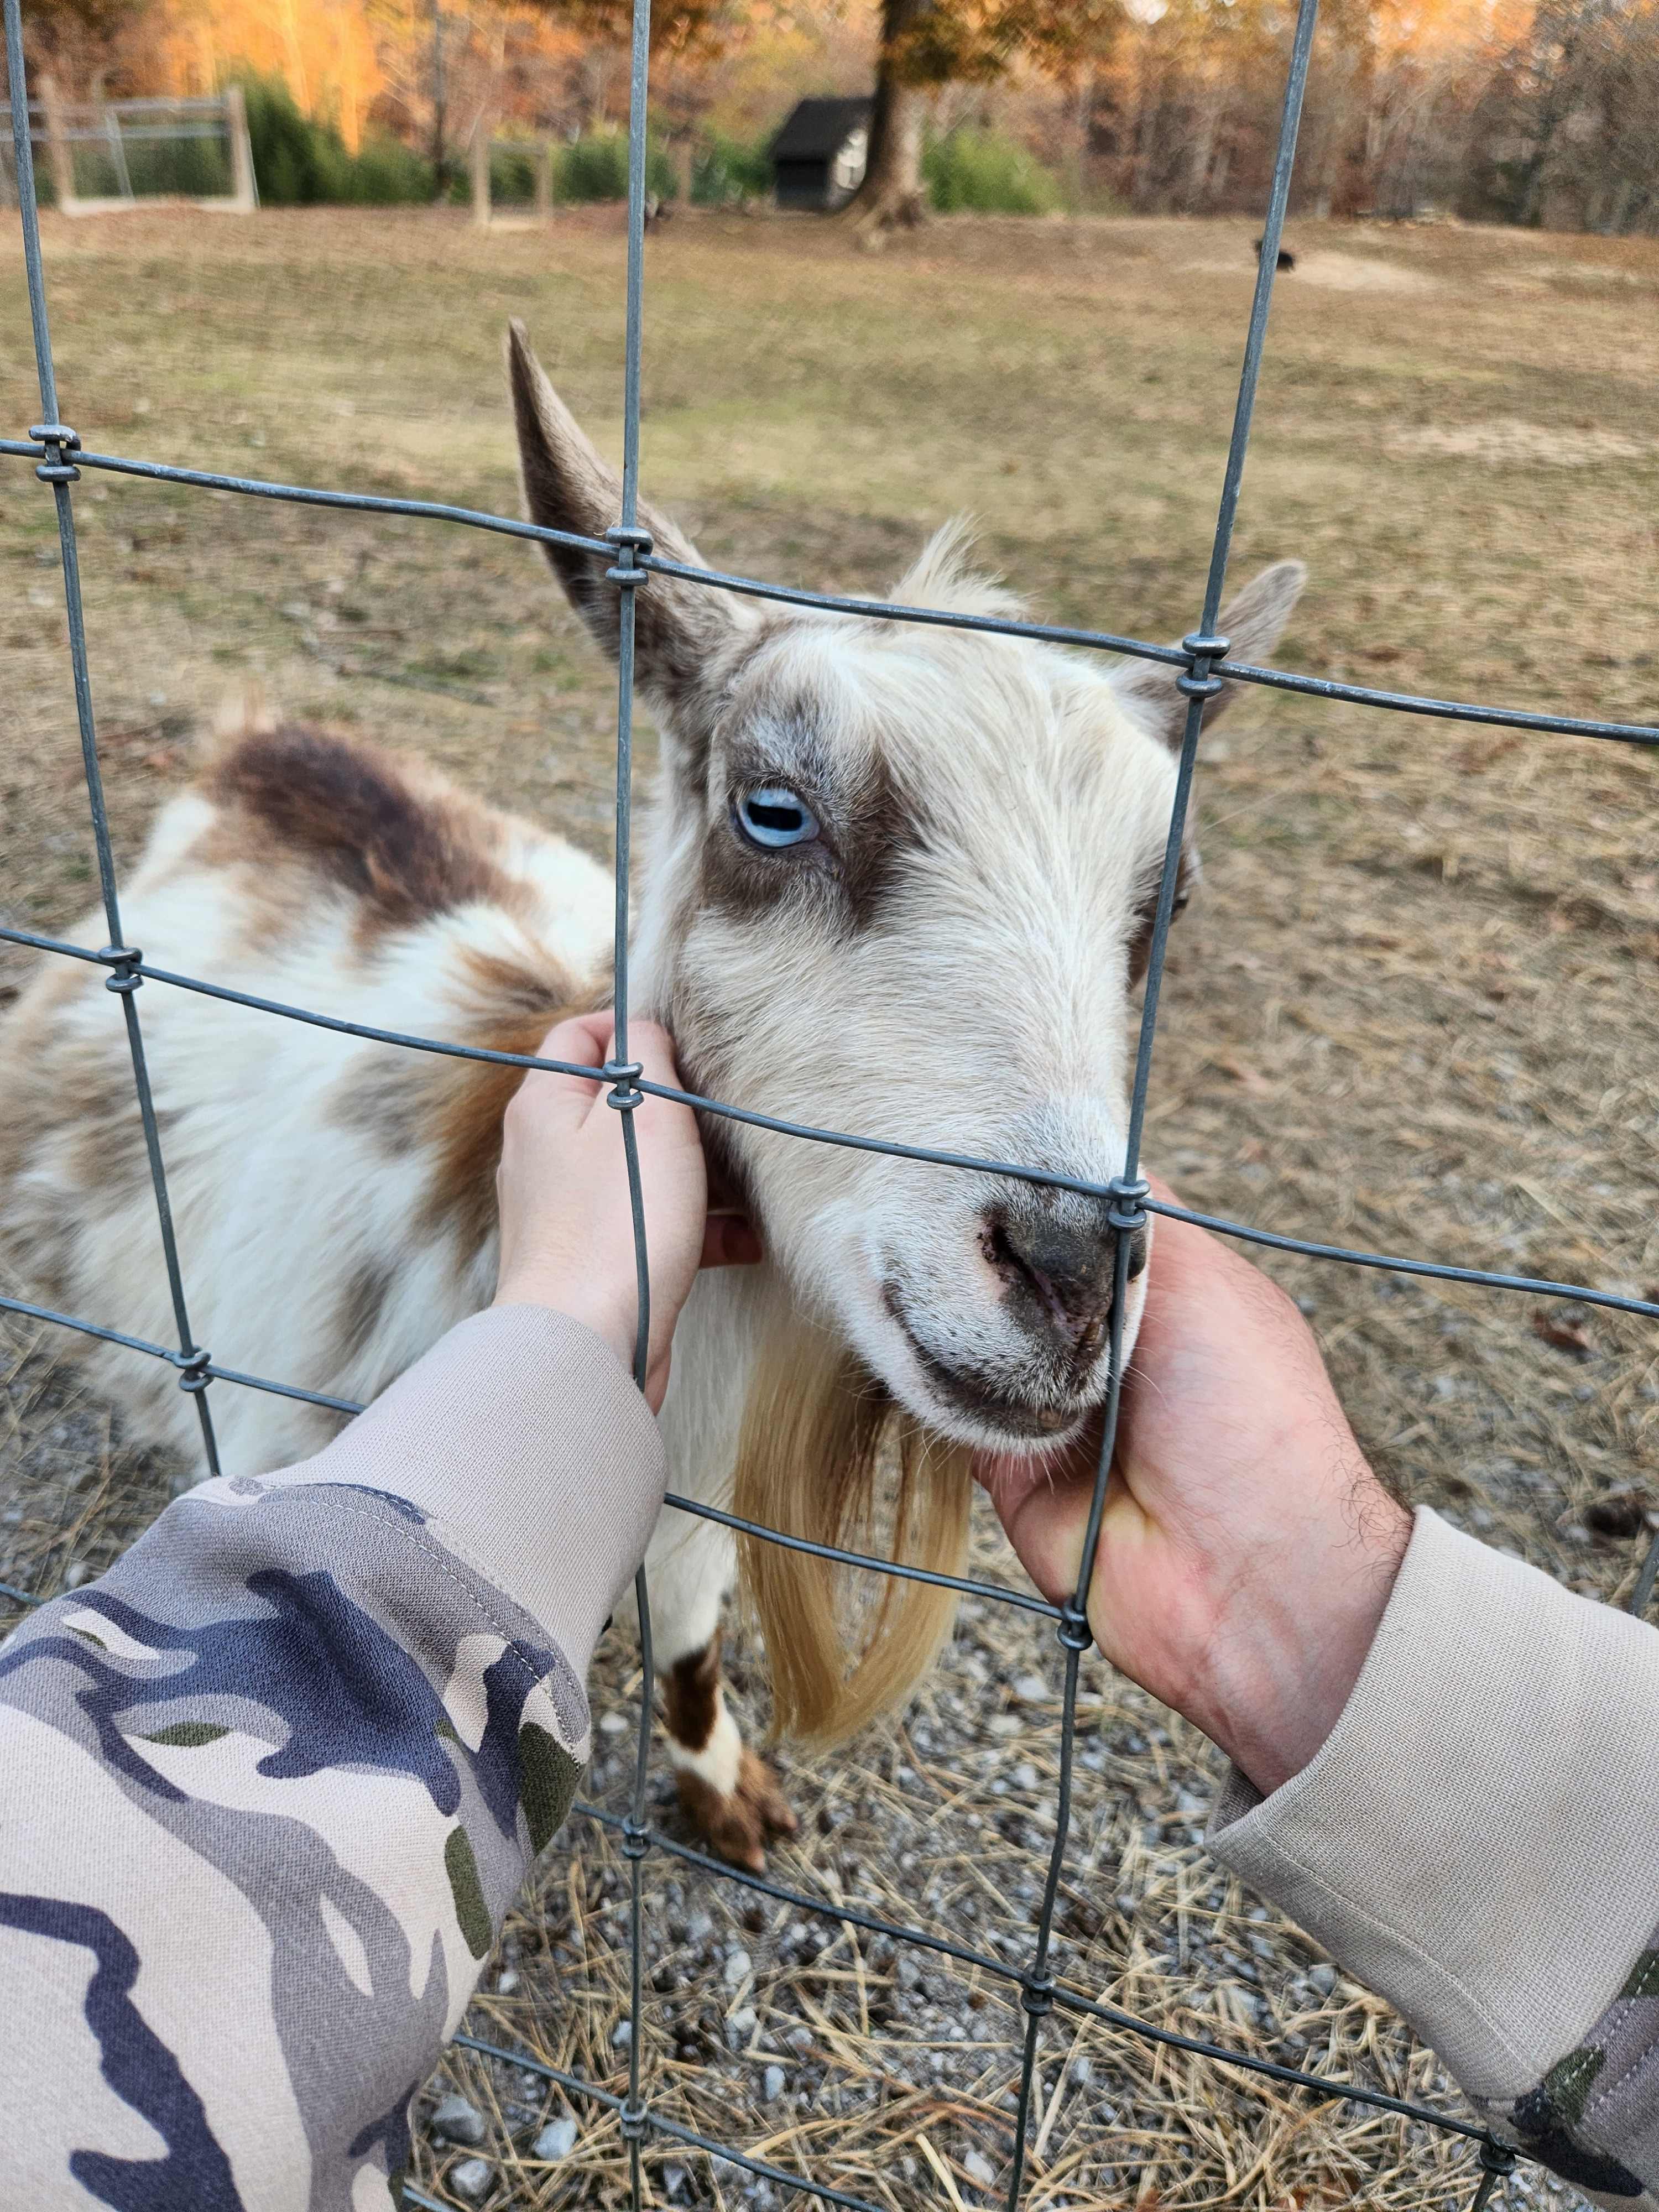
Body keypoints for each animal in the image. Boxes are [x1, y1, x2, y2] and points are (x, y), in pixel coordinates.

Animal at [0, 325, 1305, 1869]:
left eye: (1169, 899)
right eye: (773, 810)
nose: (1068, 1274)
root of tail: (258, 745)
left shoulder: (691, 1506)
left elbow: (688, 1627)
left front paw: (721, 1778)